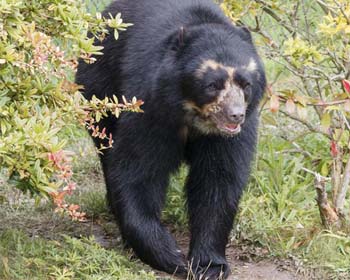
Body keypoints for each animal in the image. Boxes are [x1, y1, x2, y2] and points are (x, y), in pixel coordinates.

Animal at [76, 0, 266, 278]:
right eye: (213, 85)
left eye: (246, 84)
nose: (235, 115)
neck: (193, 117)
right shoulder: (151, 107)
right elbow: (138, 171)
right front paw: (170, 255)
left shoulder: (230, 137)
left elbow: (219, 180)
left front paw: (209, 265)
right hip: (100, 85)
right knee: (107, 148)